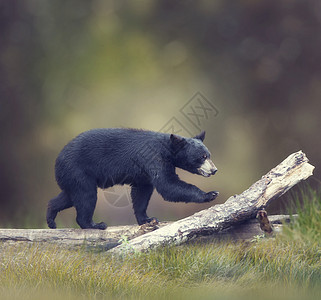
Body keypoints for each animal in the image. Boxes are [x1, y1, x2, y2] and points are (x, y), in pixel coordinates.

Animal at [47, 128, 218, 230]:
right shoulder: (154, 158)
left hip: (71, 176)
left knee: (69, 196)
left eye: (209, 155)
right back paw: (94, 224)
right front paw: (210, 194)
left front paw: (147, 219)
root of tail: (57, 160)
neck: (168, 150)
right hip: (79, 171)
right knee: (86, 196)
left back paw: (51, 219)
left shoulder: (143, 174)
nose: (214, 170)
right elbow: (168, 185)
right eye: (202, 157)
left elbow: (141, 193)